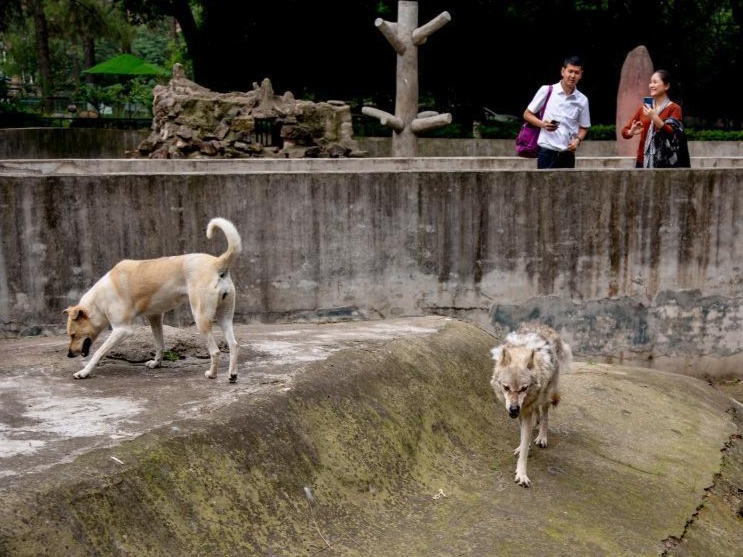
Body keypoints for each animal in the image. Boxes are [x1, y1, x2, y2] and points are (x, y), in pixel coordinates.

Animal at [64, 217, 243, 382]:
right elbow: (159, 343)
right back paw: (232, 374)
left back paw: (212, 374)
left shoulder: (122, 330)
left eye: (73, 335)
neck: (99, 301)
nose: (69, 355)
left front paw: (84, 372)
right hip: (224, 317)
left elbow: (99, 352)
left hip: (201, 318)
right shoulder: (155, 317)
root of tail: (217, 262)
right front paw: (156, 363)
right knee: (234, 344)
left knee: (215, 351)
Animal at [492, 322, 572, 486]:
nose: (513, 409)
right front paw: (523, 445)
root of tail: (546, 326)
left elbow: (524, 446)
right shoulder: (521, 412)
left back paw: (542, 437)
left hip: (546, 395)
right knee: (537, 412)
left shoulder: (525, 410)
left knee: (545, 415)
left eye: (524, 388)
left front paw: (522, 474)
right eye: (506, 387)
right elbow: (523, 437)